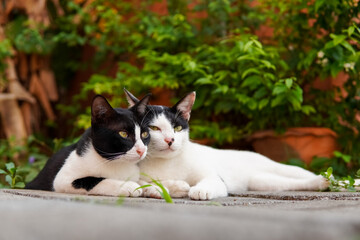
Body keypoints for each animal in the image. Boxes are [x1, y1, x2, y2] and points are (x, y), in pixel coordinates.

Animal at [124, 90, 330, 201]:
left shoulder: (215, 178)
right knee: (286, 183)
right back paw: (322, 183)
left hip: (278, 168)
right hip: (261, 181)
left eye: (177, 128)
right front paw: (161, 188)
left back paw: (328, 180)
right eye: (154, 128)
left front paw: (200, 189)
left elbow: (210, 181)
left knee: (300, 174)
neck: (166, 163)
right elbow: (143, 183)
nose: (170, 140)